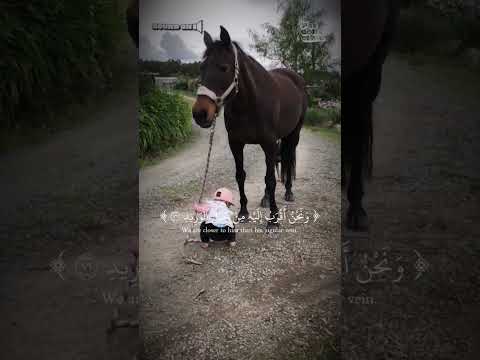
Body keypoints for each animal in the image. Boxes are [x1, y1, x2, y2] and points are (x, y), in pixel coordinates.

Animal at [192, 26, 308, 226]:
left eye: (224, 68)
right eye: (202, 67)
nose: (200, 114)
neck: (250, 104)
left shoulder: (268, 143)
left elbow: (271, 179)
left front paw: (273, 218)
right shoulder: (236, 143)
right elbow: (241, 175)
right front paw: (243, 212)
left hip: (294, 134)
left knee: (286, 158)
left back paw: (288, 192)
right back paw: (266, 198)